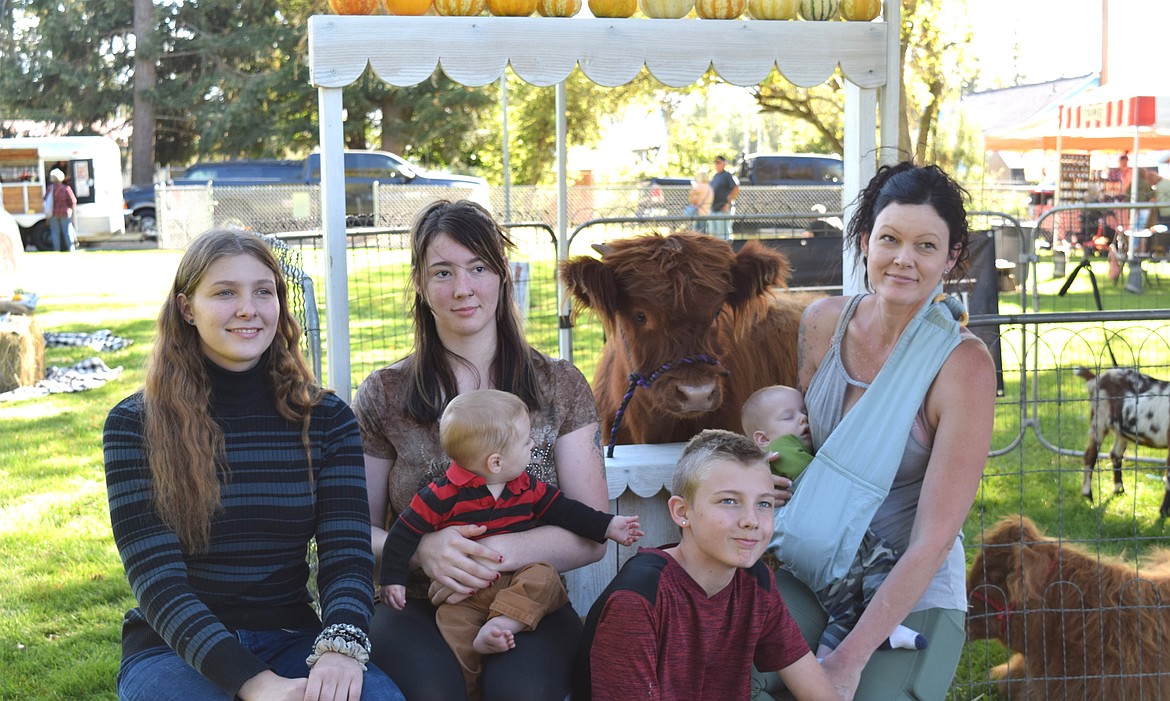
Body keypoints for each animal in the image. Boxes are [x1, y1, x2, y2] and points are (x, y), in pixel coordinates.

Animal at [1071, 367, 1170, 514]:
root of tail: (1096, 377)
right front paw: (1164, 513)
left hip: (1121, 430)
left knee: (1115, 454)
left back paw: (1118, 489)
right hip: (1098, 419)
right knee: (1090, 455)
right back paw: (1088, 494)